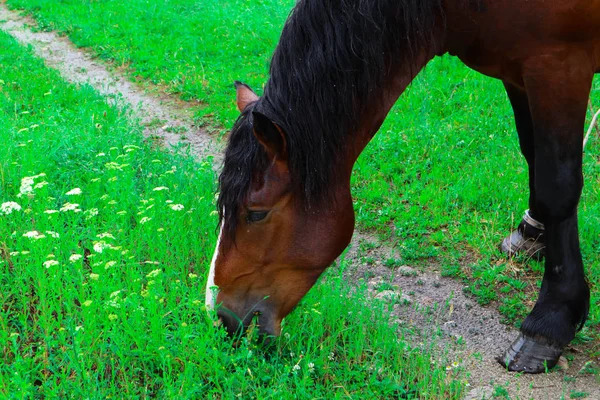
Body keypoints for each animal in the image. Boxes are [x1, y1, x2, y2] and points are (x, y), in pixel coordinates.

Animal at [207, 0, 600, 376]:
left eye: (256, 214)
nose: (220, 317)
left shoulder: (557, 67)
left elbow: (556, 185)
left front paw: (551, 322)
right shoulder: (517, 72)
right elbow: (534, 156)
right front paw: (533, 234)